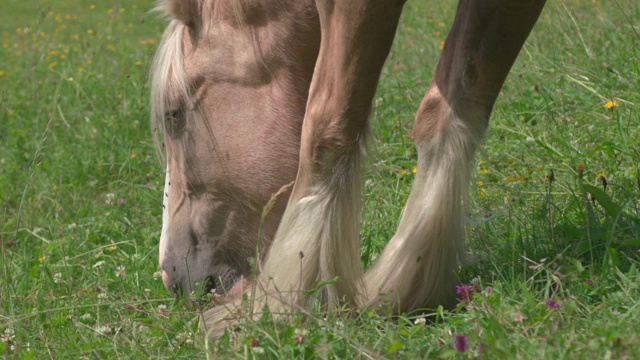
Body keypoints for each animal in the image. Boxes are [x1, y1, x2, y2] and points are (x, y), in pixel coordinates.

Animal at [150, 0, 544, 336]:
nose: (173, 277)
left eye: (173, 115)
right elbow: (452, 101)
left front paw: (281, 303)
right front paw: (410, 280)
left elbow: (325, 125)